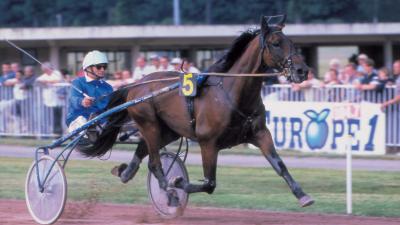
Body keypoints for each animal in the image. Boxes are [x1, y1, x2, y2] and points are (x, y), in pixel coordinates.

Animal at [79, 15, 316, 207]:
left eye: (292, 43)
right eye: (276, 44)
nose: (302, 70)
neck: (232, 94)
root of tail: (136, 85)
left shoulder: (260, 134)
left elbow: (280, 165)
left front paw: (302, 195)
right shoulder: (208, 143)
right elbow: (209, 183)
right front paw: (178, 181)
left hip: (168, 130)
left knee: (143, 150)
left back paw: (125, 172)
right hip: (149, 123)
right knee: (155, 163)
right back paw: (169, 192)